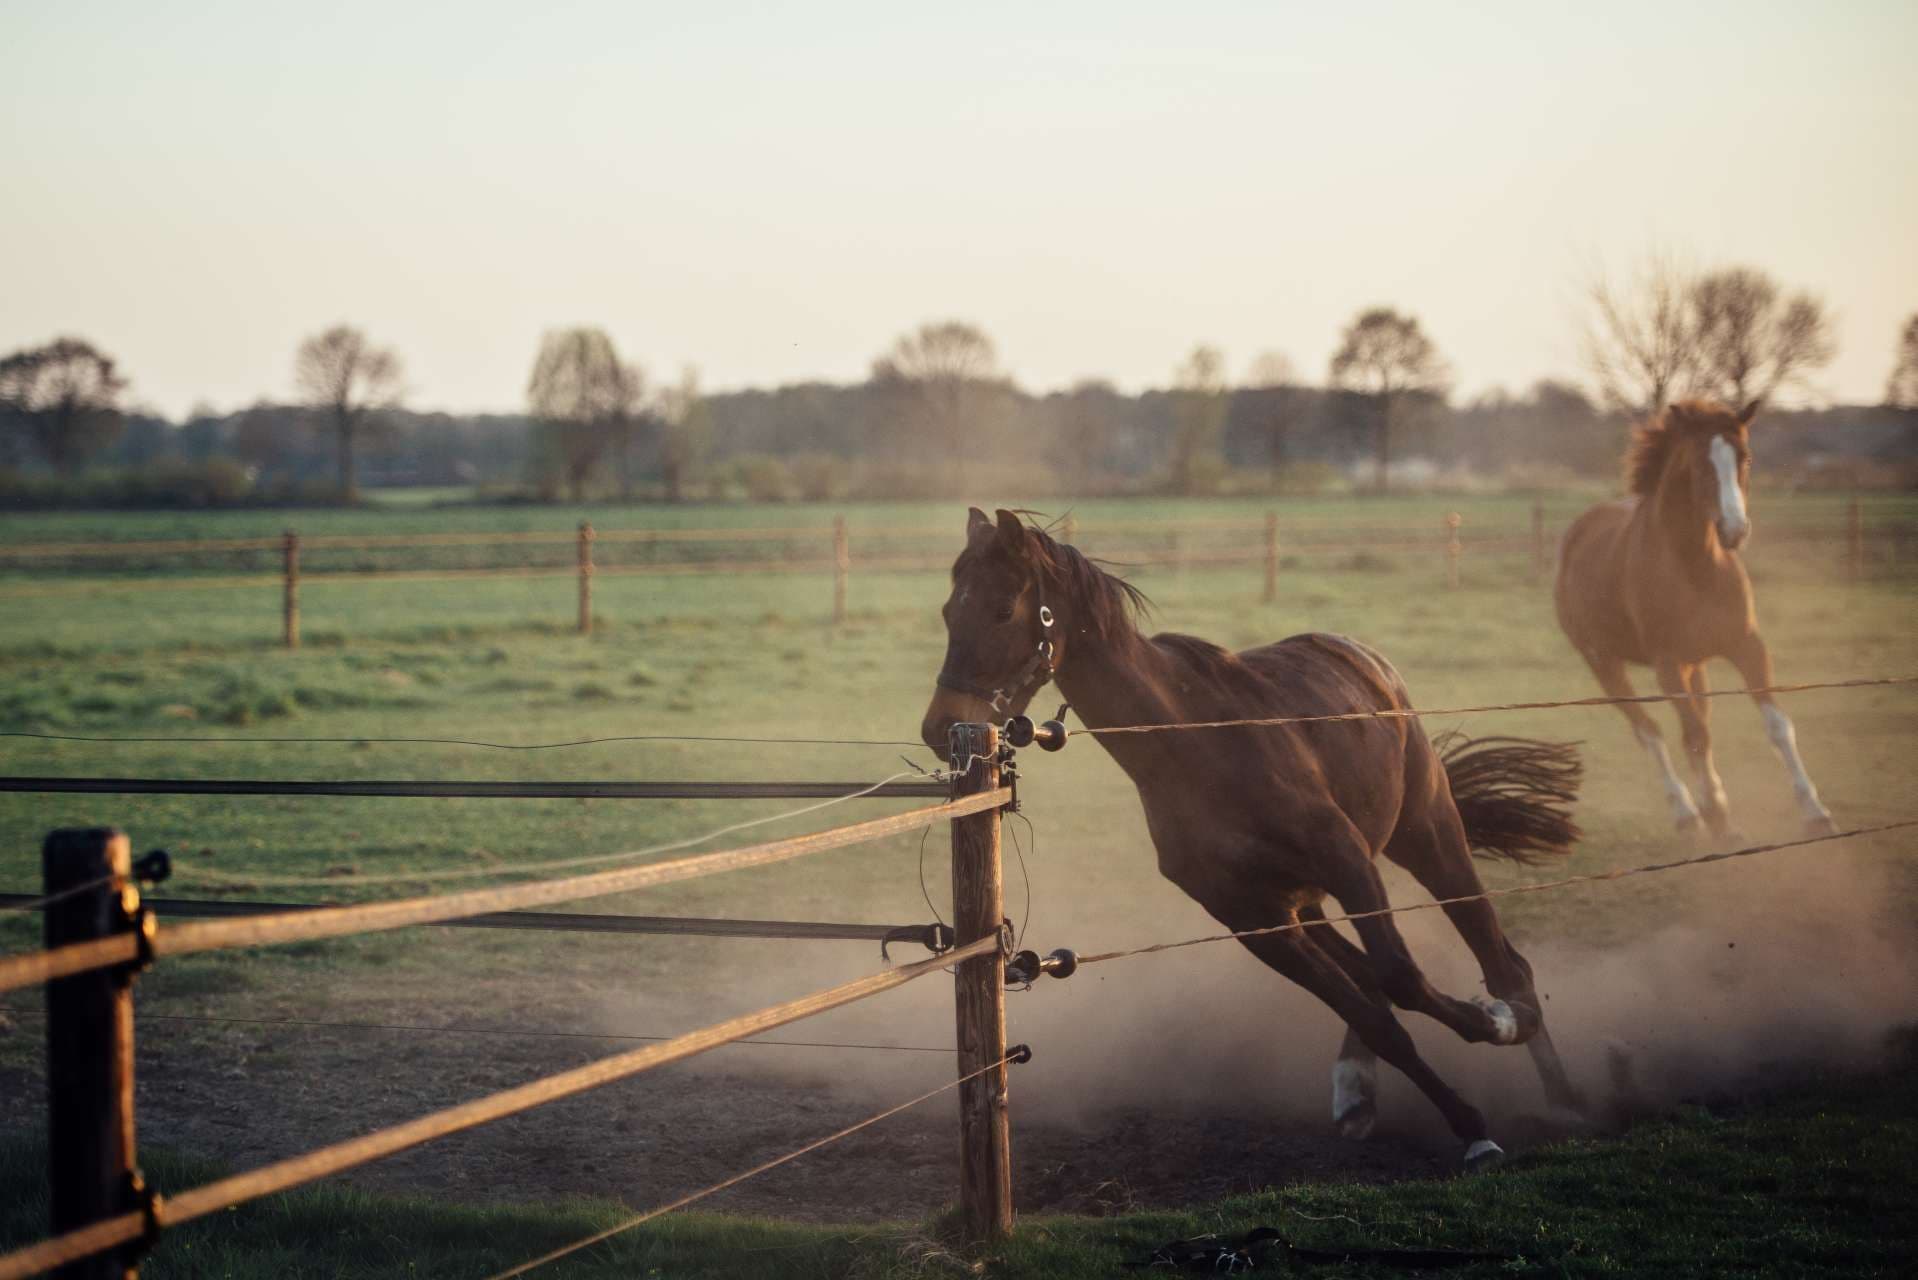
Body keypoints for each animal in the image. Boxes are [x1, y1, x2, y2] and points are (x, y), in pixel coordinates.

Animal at [921, 508, 1585, 1167]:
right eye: (950, 611)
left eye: (1003, 609)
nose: (939, 726)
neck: (1196, 747)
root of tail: (1366, 660)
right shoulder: (1255, 920)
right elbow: (1378, 1016)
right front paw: (1466, 1122)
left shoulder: (1348, 861)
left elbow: (1403, 976)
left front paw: (1497, 1031)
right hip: (1310, 904)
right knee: (1373, 982)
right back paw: (1357, 1093)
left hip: (1427, 832)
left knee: (1501, 963)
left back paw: (1558, 1088)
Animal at [1554, 399, 1835, 840]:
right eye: (1701, 463)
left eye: (1746, 458)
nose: (1735, 530)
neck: (1695, 567)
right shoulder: (1667, 664)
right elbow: (1692, 735)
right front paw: (1718, 820)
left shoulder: (1747, 646)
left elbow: (1776, 726)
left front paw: (1815, 812)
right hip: (1605, 663)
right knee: (1649, 731)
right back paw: (1687, 812)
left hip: (1694, 665)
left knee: (1695, 722)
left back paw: (1710, 802)